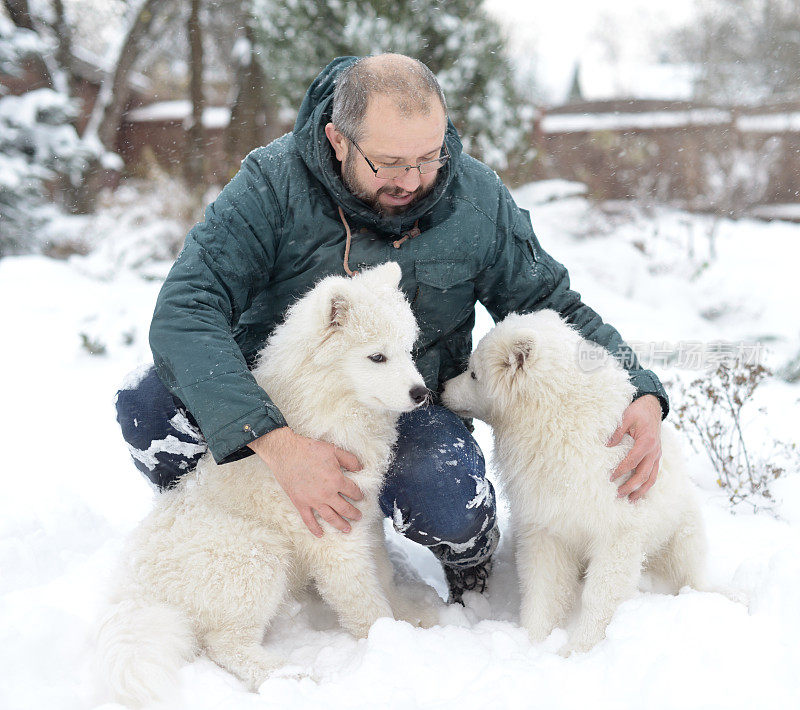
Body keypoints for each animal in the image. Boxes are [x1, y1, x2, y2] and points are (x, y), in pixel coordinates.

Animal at [97, 262, 434, 708]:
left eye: (409, 350)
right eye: (377, 356)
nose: (422, 393)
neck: (327, 414)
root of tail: (137, 591)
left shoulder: (362, 517)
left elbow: (383, 573)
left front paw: (407, 616)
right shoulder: (331, 531)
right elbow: (362, 598)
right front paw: (390, 644)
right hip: (257, 554)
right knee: (226, 644)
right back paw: (286, 676)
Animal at [440, 312, 708, 656]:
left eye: (474, 373)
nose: (442, 387)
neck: (560, 420)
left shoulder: (619, 513)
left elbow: (604, 586)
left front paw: (579, 647)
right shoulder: (543, 513)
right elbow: (543, 579)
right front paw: (533, 640)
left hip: (679, 526)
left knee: (686, 563)